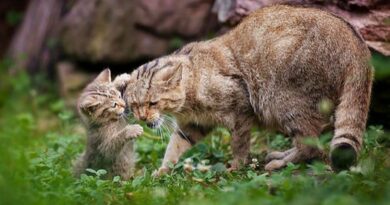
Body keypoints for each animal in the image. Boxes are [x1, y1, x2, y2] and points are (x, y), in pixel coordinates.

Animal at [123, 4, 374, 175]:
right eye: (134, 105)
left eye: (152, 103)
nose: (143, 118)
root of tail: (358, 45)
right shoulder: (193, 126)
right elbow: (174, 148)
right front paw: (162, 171)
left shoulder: (240, 111)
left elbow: (239, 144)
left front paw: (235, 166)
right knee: (316, 140)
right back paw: (282, 155)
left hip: (285, 101)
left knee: (310, 142)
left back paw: (279, 162)